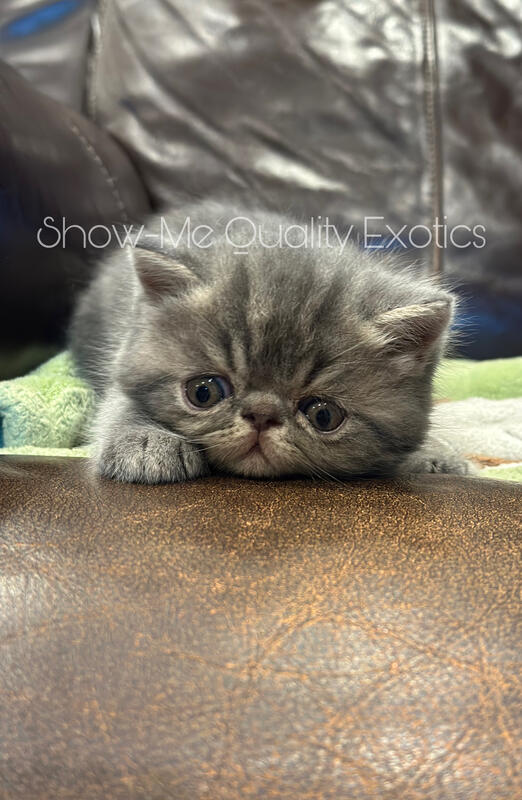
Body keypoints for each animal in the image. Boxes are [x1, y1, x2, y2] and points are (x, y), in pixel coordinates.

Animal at [69, 202, 472, 483]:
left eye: (324, 415)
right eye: (203, 392)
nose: (261, 414)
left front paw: (436, 454)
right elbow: (119, 403)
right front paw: (143, 441)